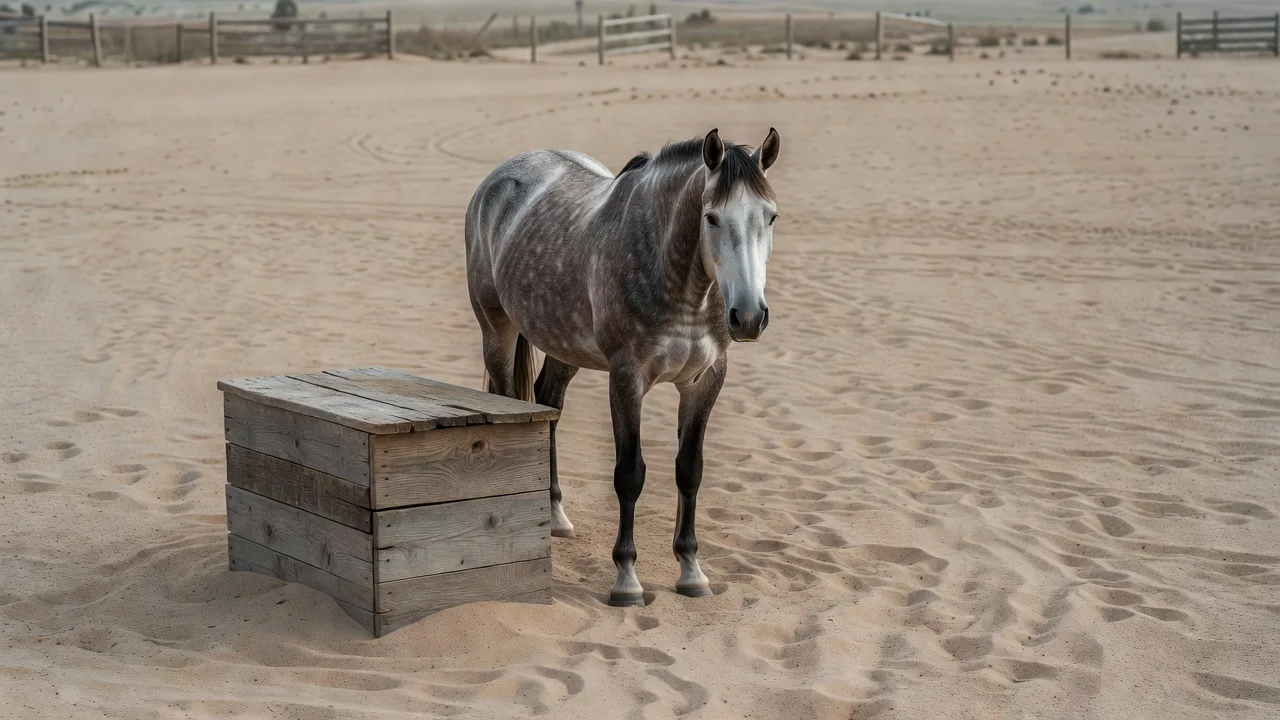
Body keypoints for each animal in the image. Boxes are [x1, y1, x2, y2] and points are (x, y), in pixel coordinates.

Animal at [464, 127, 781, 607]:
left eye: (771, 217)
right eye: (710, 218)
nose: (748, 316)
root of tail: (500, 176)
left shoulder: (705, 380)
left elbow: (689, 471)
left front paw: (691, 571)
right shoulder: (627, 378)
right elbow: (629, 474)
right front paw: (626, 579)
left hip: (563, 345)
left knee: (549, 403)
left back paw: (555, 515)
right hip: (495, 328)